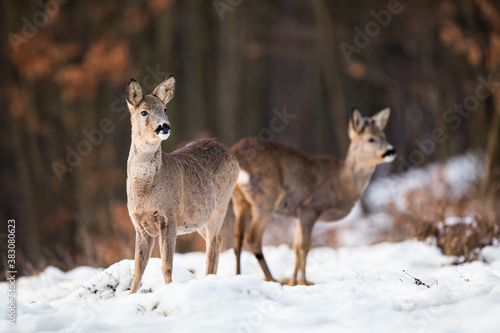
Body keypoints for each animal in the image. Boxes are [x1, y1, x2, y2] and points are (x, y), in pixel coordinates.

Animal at [124, 74, 238, 292]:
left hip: (222, 204)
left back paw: (209, 281)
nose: (164, 126)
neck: (144, 190)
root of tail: (227, 149)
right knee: (218, 240)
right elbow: (138, 269)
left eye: (165, 109)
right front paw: (130, 296)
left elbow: (166, 265)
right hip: (199, 216)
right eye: (144, 112)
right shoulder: (139, 224)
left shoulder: (168, 216)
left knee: (212, 246)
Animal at [232, 107, 396, 284]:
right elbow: (305, 247)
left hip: (239, 200)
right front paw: (302, 283)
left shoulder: (298, 214)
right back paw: (271, 279)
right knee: (253, 237)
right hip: (266, 197)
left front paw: (294, 282)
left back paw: (238, 275)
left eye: (384, 135)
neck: (342, 182)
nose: (391, 151)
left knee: (238, 238)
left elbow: (296, 247)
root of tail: (237, 154)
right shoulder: (310, 208)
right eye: (371, 139)